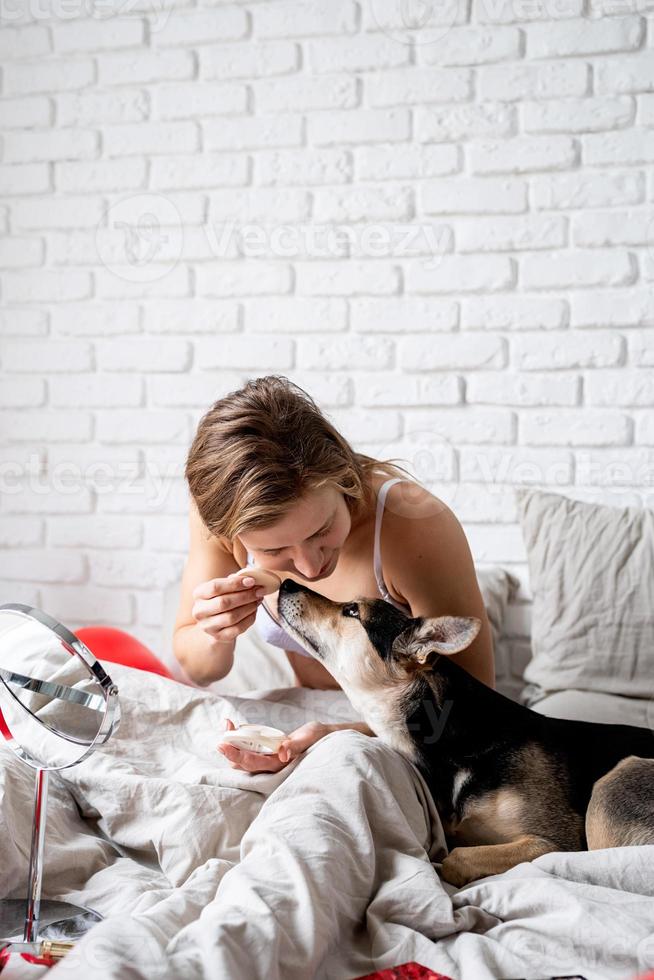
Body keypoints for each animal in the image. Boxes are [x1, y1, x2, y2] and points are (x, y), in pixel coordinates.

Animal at [278, 576, 654, 888]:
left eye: (352, 610)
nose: (286, 583)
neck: (449, 741)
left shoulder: (554, 843)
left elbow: (456, 859)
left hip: (615, 783)